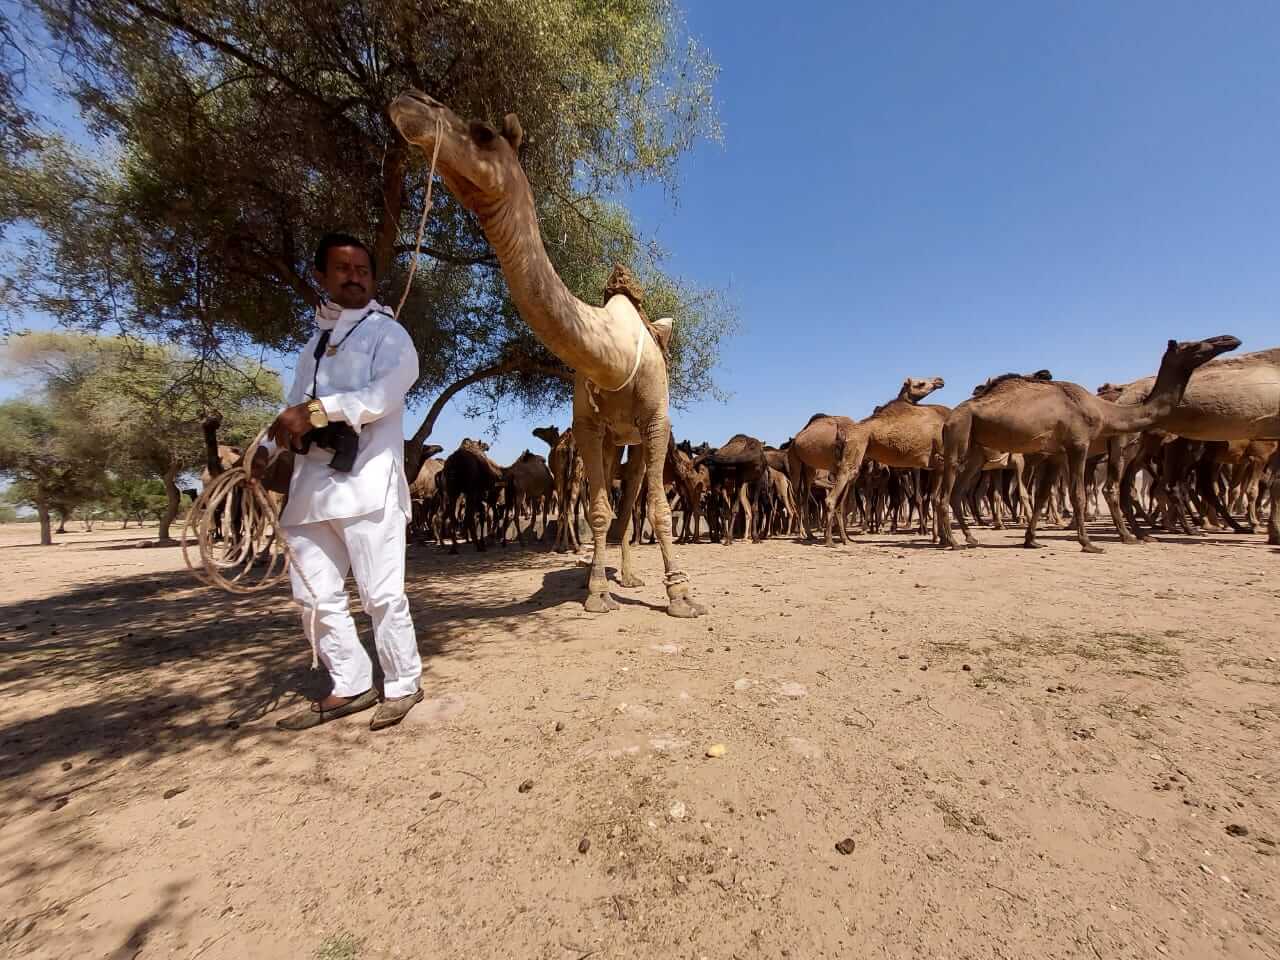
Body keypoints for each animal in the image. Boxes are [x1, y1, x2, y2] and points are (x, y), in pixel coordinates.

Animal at [391, 92, 711, 616]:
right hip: (611, 439)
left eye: (482, 133)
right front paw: (596, 593)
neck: (614, 350)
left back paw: (630, 573)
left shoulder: (657, 423)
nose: (409, 103)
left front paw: (681, 595)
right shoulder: (588, 425)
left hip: (640, 440)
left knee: (636, 496)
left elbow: (658, 508)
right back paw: (603, 571)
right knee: (613, 500)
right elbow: (598, 509)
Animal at [783, 376, 947, 545]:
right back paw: (817, 537)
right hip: (798, 464)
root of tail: (796, 439)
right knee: (805, 498)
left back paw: (820, 535)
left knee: (811, 498)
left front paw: (847, 537)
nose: (939, 380)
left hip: (812, 469)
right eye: (920, 383)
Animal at [936, 335, 1244, 552]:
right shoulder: (1078, 444)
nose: (1230, 339)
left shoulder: (1055, 453)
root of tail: (952, 415)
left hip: (977, 449)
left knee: (958, 493)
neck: (1104, 411)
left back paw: (970, 538)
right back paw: (953, 542)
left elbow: (1042, 496)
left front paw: (1031, 540)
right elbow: (1078, 495)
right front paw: (1089, 543)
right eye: (1194, 345)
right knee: (945, 491)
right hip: (959, 434)